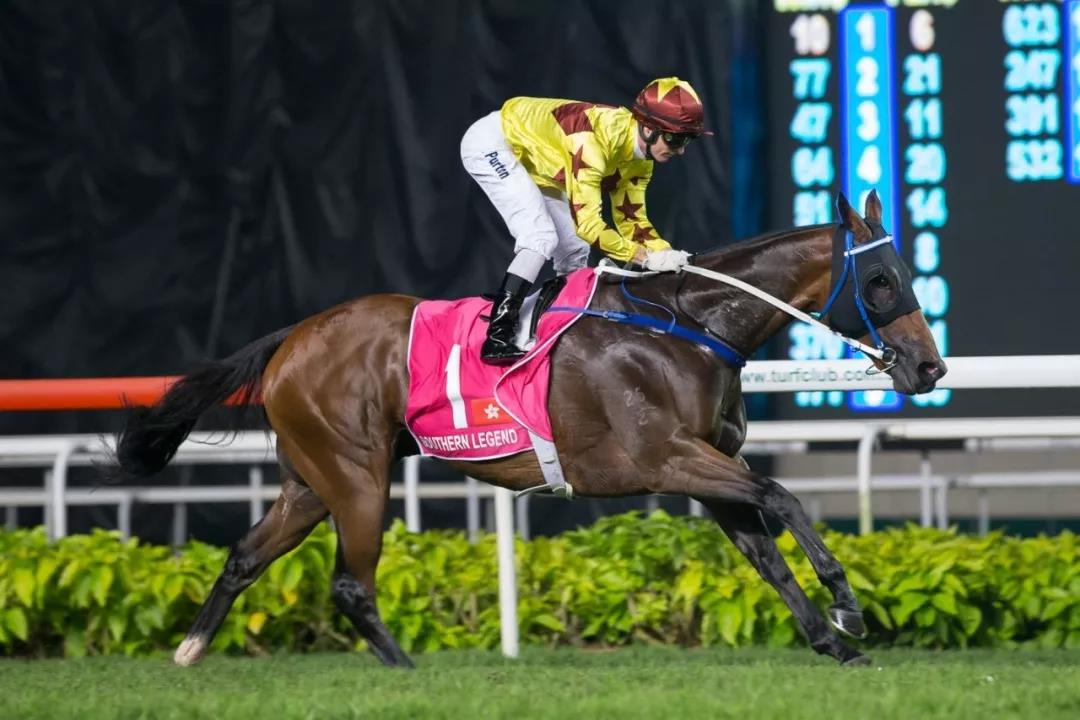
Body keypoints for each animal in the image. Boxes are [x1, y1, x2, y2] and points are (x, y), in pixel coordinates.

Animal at [108, 189, 945, 668]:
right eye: (882, 281)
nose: (929, 366)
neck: (687, 325)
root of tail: (292, 337)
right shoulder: (666, 458)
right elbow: (783, 497)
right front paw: (847, 606)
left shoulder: (704, 468)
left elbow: (765, 553)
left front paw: (832, 643)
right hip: (356, 474)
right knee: (349, 581)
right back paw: (404, 670)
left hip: (310, 480)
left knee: (246, 557)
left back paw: (189, 651)